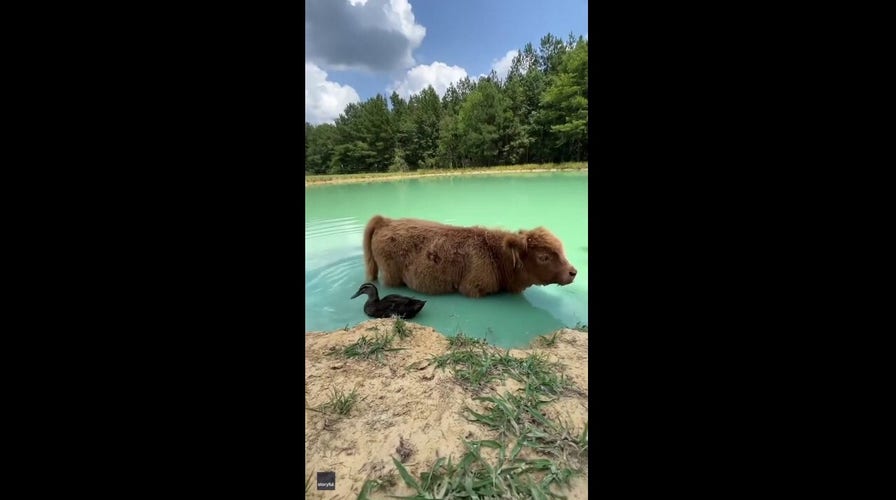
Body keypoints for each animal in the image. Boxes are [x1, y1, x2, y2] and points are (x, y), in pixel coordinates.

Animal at [362, 215, 577, 298]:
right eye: (544, 257)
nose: (573, 272)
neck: (495, 254)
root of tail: (386, 221)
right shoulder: (473, 290)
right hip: (391, 277)